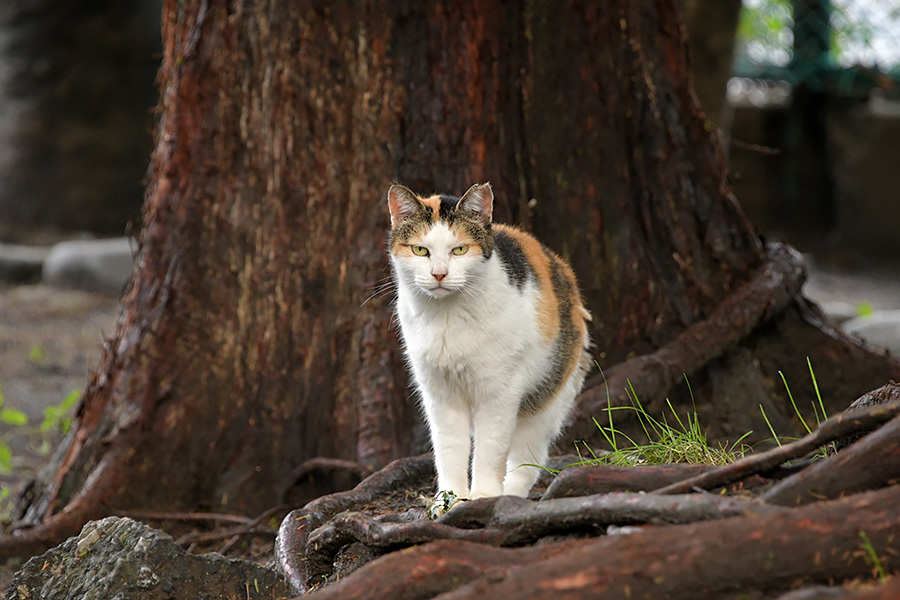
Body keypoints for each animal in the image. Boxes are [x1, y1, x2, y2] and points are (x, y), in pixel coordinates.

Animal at [386, 183, 592, 502]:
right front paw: (450, 499)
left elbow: (490, 449)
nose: (439, 274)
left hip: (547, 397)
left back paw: (510, 495)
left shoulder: (499, 392)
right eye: (420, 250)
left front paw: (482, 497)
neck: (447, 319)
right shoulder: (439, 393)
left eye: (459, 249)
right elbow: (449, 448)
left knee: (527, 460)